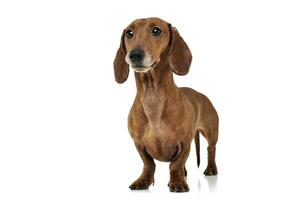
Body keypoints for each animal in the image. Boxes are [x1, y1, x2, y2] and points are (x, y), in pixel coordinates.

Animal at [112, 17, 218, 192]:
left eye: (156, 30)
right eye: (129, 33)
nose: (134, 55)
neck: (152, 97)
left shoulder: (185, 143)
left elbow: (175, 164)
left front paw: (177, 182)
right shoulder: (139, 144)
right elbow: (149, 164)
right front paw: (143, 180)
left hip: (211, 133)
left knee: (211, 149)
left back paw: (210, 169)